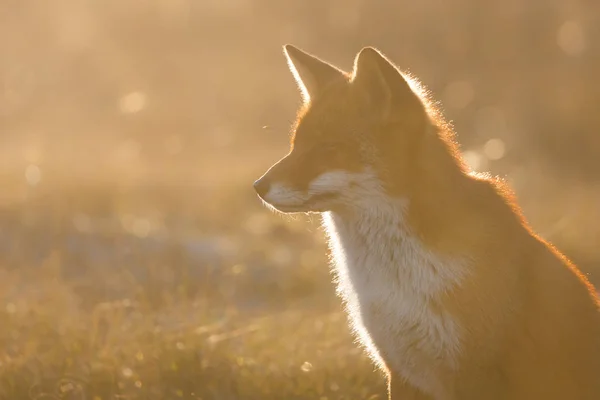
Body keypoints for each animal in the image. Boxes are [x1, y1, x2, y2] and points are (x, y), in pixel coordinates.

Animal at [252, 45, 600, 398]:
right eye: (296, 146)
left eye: (329, 148)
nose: (258, 187)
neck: (401, 279)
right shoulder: (401, 372)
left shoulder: (476, 377)